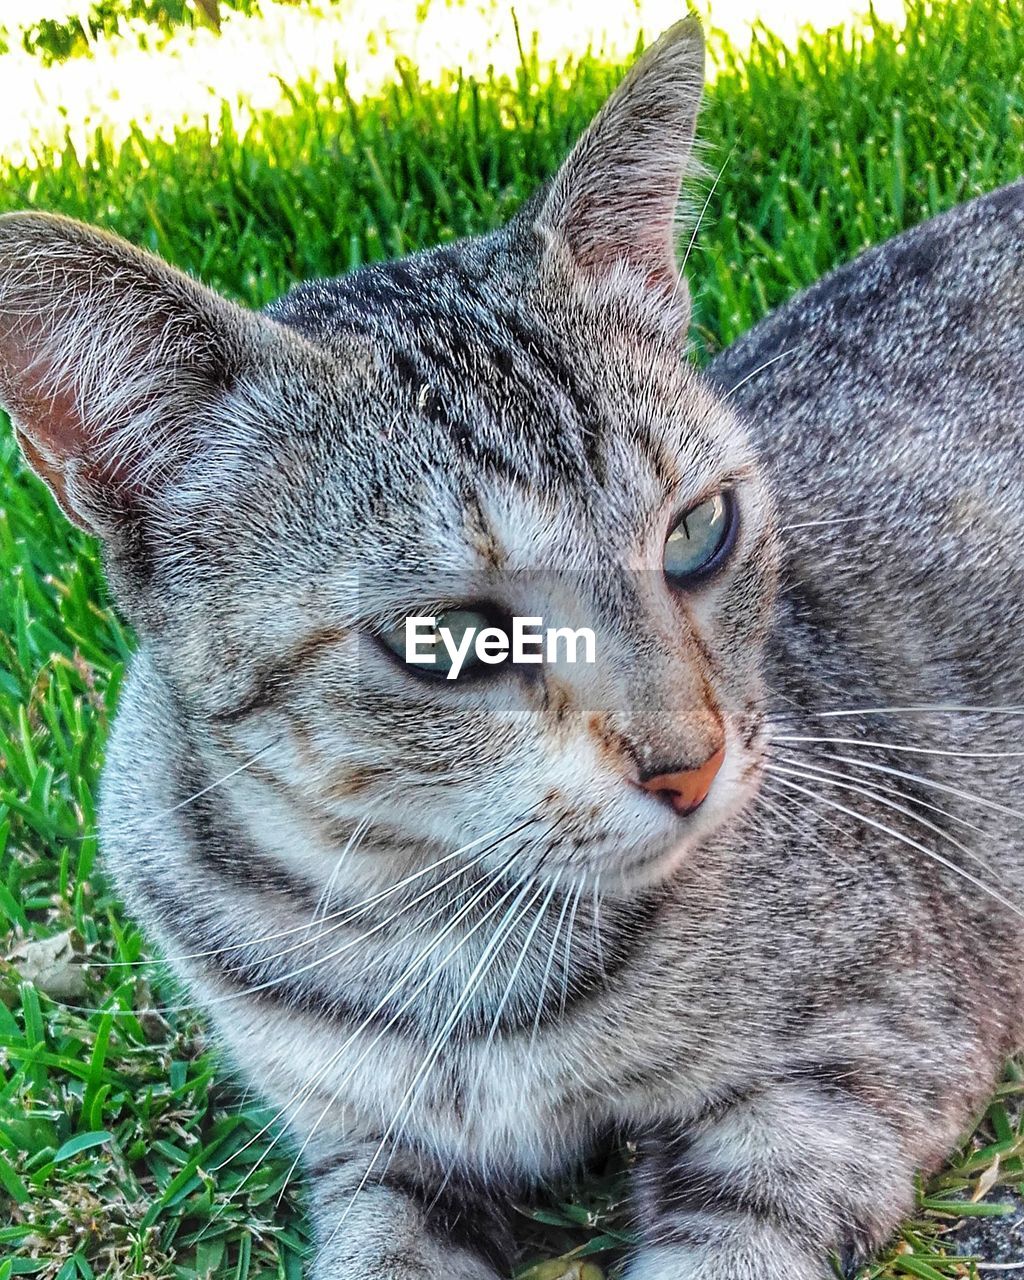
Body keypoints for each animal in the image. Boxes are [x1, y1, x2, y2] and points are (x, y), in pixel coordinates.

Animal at [2, 17, 1024, 1280]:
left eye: (698, 533)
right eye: (450, 636)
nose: (692, 763)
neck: (432, 937)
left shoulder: (875, 1045)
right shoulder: (370, 1151)